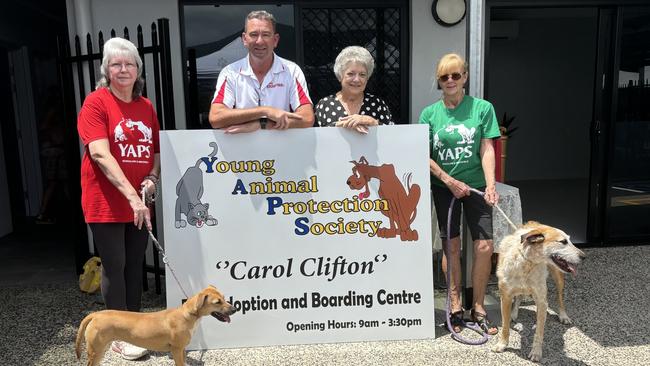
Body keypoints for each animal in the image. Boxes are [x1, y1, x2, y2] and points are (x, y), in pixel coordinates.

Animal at [76, 286, 237, 366]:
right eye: (217, 302)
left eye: (224, 298)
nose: (235, 309)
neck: (187, 315)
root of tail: (96, 314)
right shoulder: (176, 349)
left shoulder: (182, 349)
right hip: (95, 350)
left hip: (100, 350)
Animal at [492, 222, 584, 362]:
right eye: (563, 241)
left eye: (570, 240)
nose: (584, 256)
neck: (527, 262)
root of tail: (536, 224)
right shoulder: (505, 297)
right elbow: (505, 325)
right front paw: (502, 344)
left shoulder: (541, 302)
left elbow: (539, 331)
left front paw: (536, 352)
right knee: (519, 297)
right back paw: (514, 313)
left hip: (558, 277)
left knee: (560, 297)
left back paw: (563, 316)